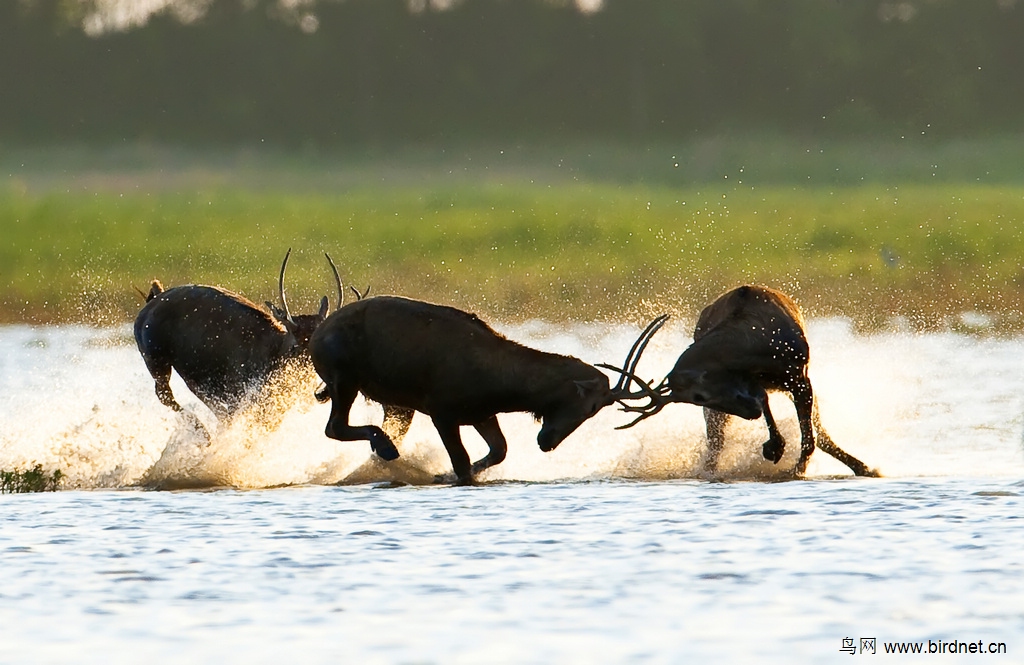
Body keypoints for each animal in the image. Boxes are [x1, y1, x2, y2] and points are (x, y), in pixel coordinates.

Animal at [307, 295, 667, 481]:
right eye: (591, 406)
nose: (547, 442)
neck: (503, 385)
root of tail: (316, 336)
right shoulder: (442, 413)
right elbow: (462, 462)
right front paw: (449, 475)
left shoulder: (482, 414)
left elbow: (499, 450)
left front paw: (442, 475)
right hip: (345, 381)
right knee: (334, 427)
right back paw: (386, 448)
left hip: (393, 402)